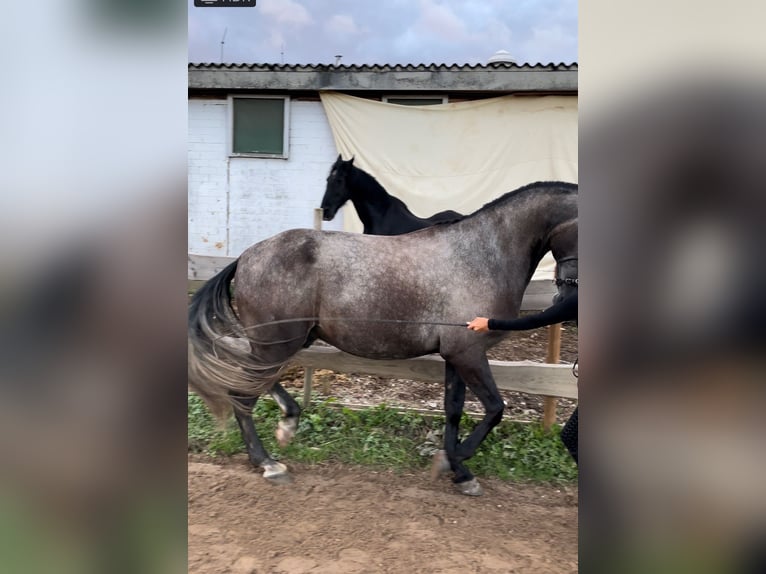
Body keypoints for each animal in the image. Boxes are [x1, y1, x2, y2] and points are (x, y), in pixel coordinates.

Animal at [189, 182, 580, 498]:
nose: (567, 299)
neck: (483, 254)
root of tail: (246, 256)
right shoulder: (468, 352)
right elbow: (496, 408)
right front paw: (456, 463)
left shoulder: (456, 355)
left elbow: (454, 411)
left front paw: (457, 470)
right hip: (278, 342)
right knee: (243, 394)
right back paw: (269, 461)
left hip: (284, 341)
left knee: (252, 384)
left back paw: (287, 425)